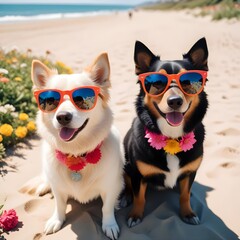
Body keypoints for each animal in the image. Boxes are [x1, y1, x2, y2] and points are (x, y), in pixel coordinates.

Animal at [24, 53, 124, 239]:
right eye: (50, 101)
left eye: (81, 99)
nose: (63, 116)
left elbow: (106, 207)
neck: (76, 153)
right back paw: (43, 186)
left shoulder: (110, 185)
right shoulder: (58, 188)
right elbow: (59, 205)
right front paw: (56, 220)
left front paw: (109, 224)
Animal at [122, 37, 208, 227]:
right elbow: (139, 197)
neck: (172, 137)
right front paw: (135, 215)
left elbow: (185, 195)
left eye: (187, 82)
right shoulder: (138, 175)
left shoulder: (190, 173)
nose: (174, 101)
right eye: (157, 83)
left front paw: (188, 213)